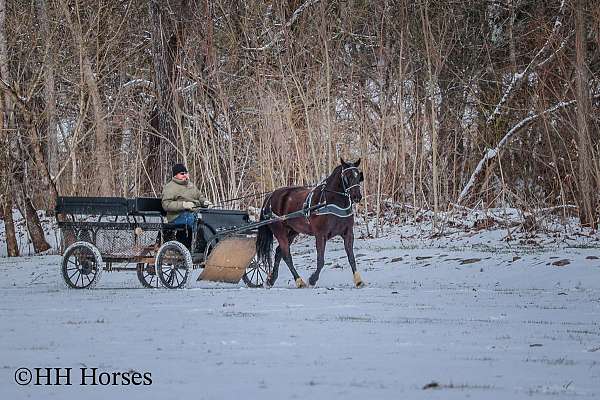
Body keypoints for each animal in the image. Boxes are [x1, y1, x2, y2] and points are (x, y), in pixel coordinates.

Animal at [254, 159, 364, 288]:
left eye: (358, 176)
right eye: (347, 176)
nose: (357, 196)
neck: (331, 202)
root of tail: (270, 196)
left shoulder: (348, 233)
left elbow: (351, 257)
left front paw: (358, 280)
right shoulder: (320, 235)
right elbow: (321, 260)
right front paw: (312, 279)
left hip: (292, 232)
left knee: (279, 252)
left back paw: (272, 279)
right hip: (280, 232)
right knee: (286, 255)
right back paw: (299, 281)